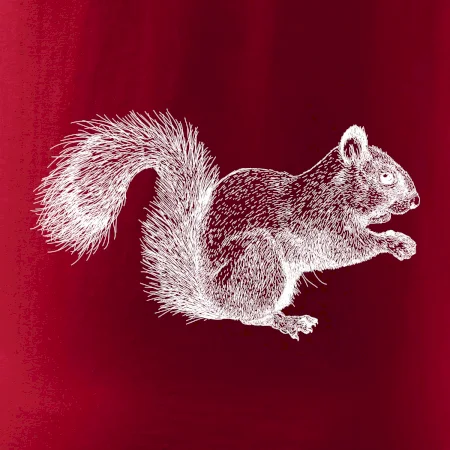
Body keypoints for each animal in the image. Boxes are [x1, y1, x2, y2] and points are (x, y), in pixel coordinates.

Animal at [34, 112, 420, 340]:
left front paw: (385, 221)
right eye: (386, 177)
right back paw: (288, 321)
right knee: (252, 317)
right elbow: (346, 248)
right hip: (260, 261)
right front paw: (394, 242)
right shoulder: (318, 223)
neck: (334, 191)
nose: (416, 200)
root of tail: (215, 300)